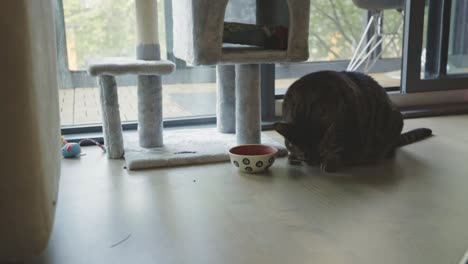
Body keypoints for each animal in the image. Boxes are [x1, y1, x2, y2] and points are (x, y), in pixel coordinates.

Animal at [274, 71, 432, 172]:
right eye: (304, 153)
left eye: (321, 149)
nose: (313, 162)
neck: (305, 106)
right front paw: (292, 156)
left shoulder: (347, 124)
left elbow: (338, 148)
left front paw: (330, 162)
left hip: (391, 120)